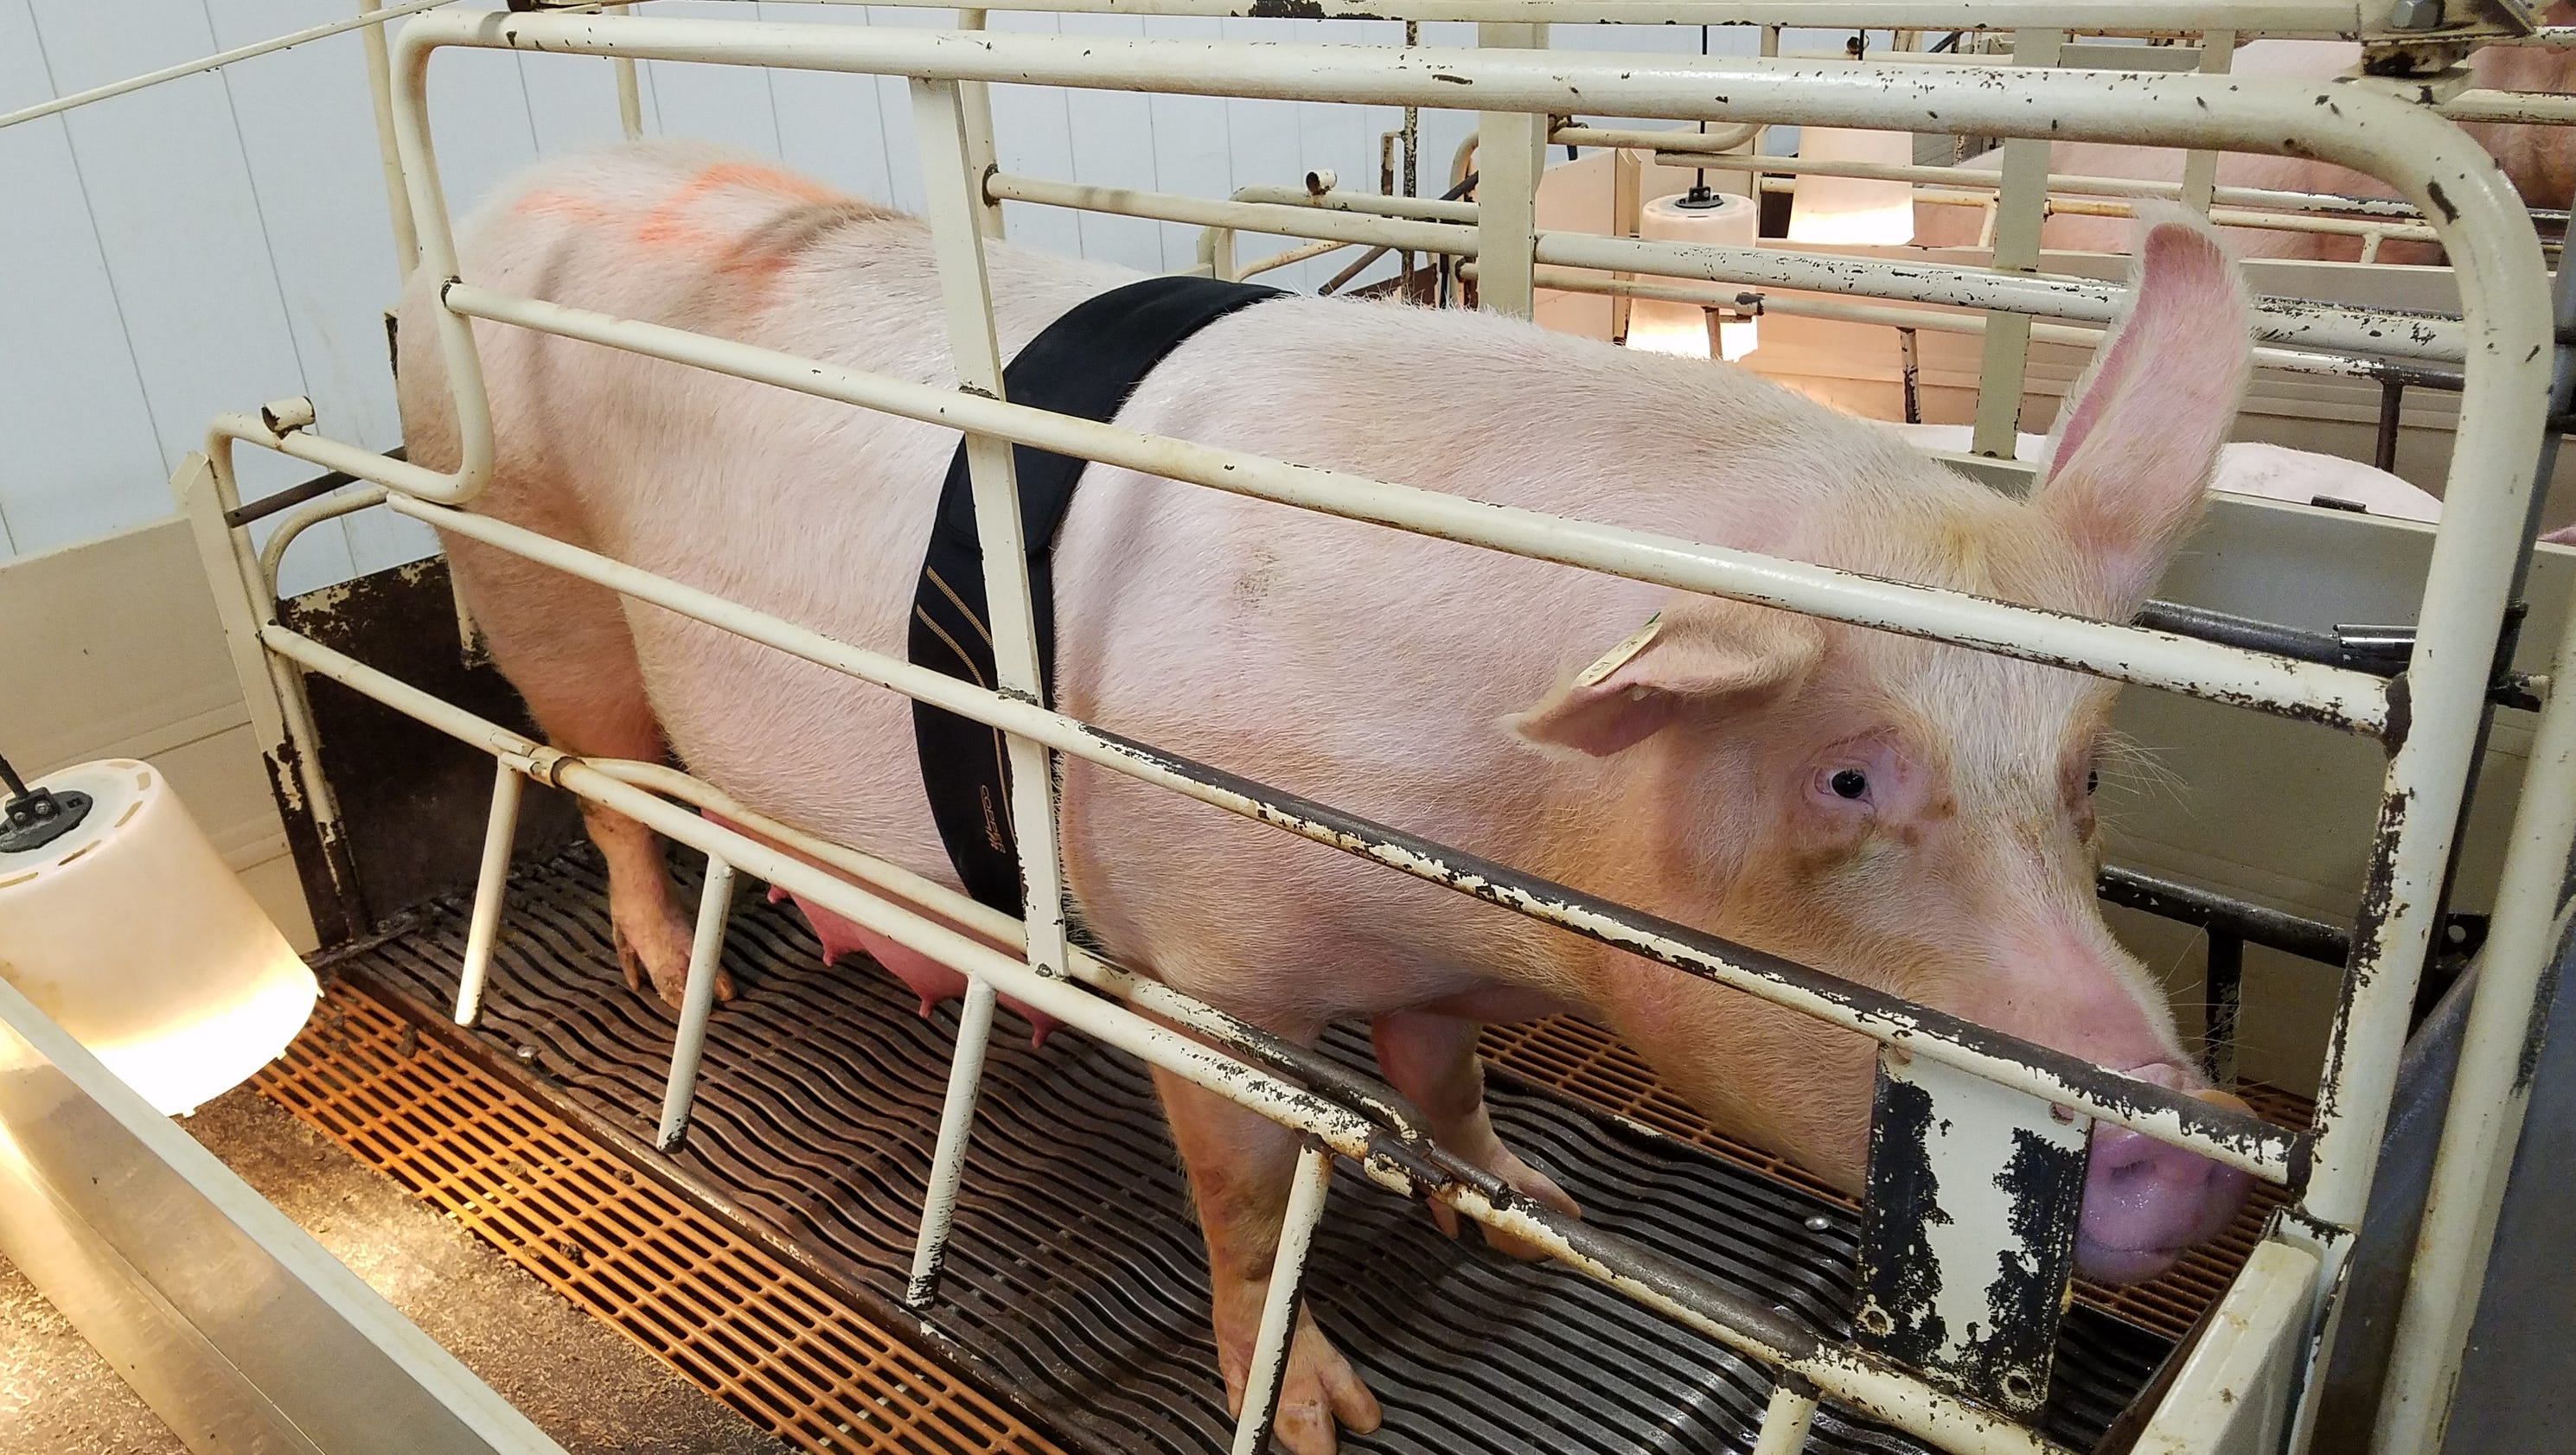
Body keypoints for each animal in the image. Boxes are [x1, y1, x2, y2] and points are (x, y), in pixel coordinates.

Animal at [399, 140, 2255, 1454]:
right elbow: (1241, 1198)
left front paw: (1539, 1211)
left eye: (2084, 771)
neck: (1483, 844)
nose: (2192, 1141)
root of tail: (502, 196)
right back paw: (667, 977)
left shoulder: (1438, 964)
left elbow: (1442, 1081)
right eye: (1847, 773)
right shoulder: (1197, 971)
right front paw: (1309, 1417)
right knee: (596, 783)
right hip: (530, 571)